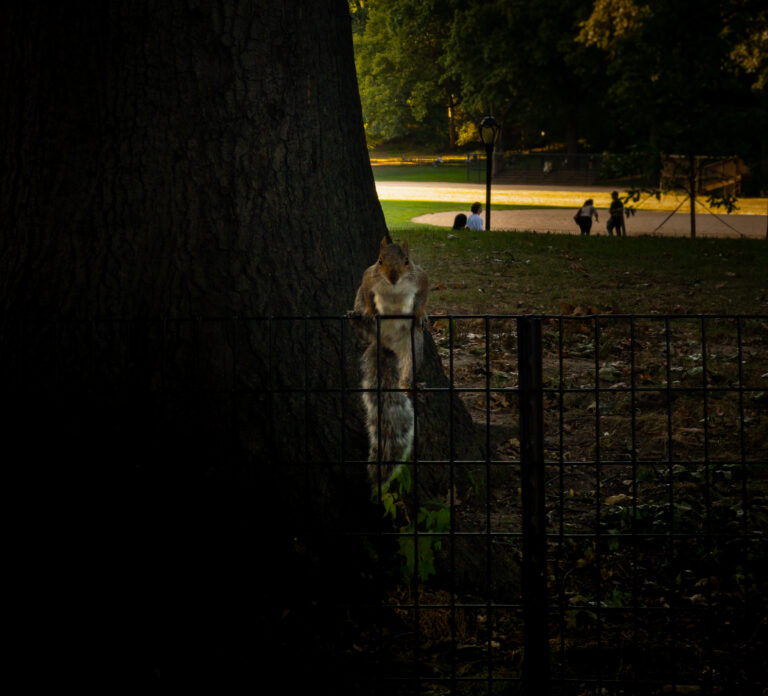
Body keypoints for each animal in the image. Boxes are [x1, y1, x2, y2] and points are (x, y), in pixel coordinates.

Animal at [349, 234, 429, 488]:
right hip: (371, 332)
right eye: (380, 260)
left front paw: (421, 314)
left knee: (408, 366)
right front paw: (369, 311)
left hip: (413, 344)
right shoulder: (368, 278)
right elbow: (366, 295)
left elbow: (423, 296)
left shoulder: (420, 277)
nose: (392, 277)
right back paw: (357, 319)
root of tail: (385, 344)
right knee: (364, 331)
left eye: (406, 261)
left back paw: (408, 384)